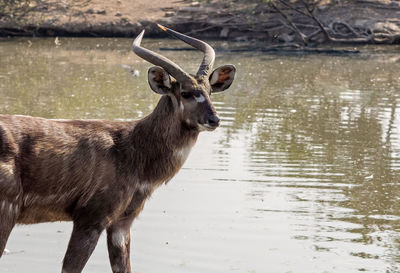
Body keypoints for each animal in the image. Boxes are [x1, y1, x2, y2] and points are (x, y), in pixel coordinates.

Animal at [0, 24, 234, 270]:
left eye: (209, 91)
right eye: (186, 93)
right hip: (7, 211)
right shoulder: (92, 218)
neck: (134, 151)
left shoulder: (122, 223)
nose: (214, 119)